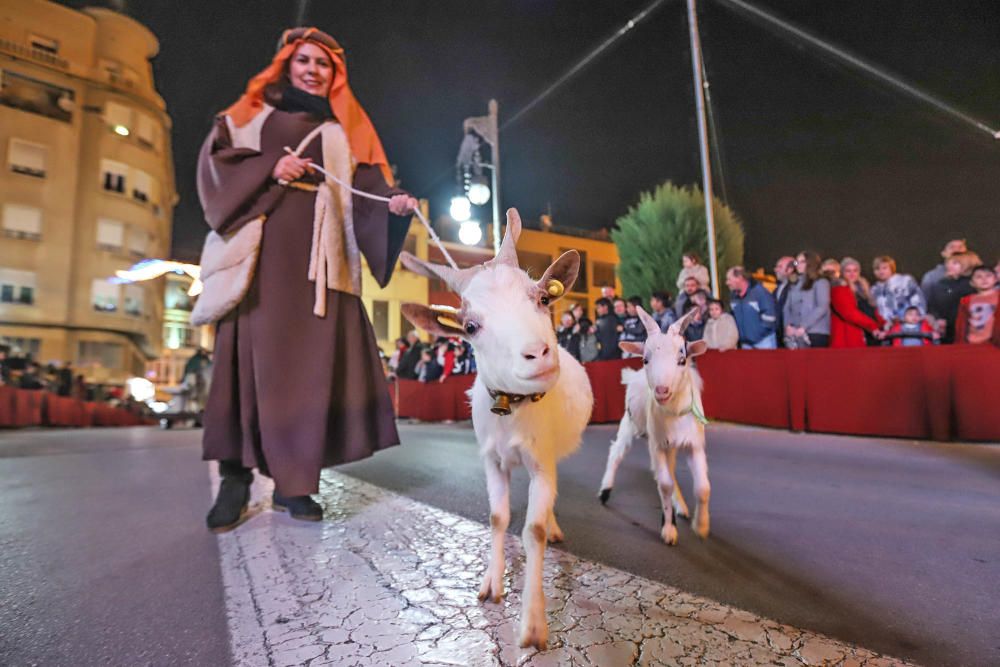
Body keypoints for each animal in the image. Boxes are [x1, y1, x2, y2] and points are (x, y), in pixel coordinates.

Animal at [400, 209, 592, 652]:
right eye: (470, 326)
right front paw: (491, 583)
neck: (512, 408)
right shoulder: (491, 459)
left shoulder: (541, 460)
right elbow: (497, 517)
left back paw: (555, 527)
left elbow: (533, 530)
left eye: (542, 298)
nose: (538, 353)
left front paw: (534, 625)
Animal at [596, 308, 708, 548]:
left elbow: (702, 488)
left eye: (682, 359)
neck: (674, 412)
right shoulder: (657, 444)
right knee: (616, 453)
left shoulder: (694, 444)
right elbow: (664, 484)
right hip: (629, 424)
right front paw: (668, 529)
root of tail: (632, 376)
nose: (662, 390)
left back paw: (681, 507)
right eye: (645, 359)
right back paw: (605, 491)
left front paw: (701, 526)